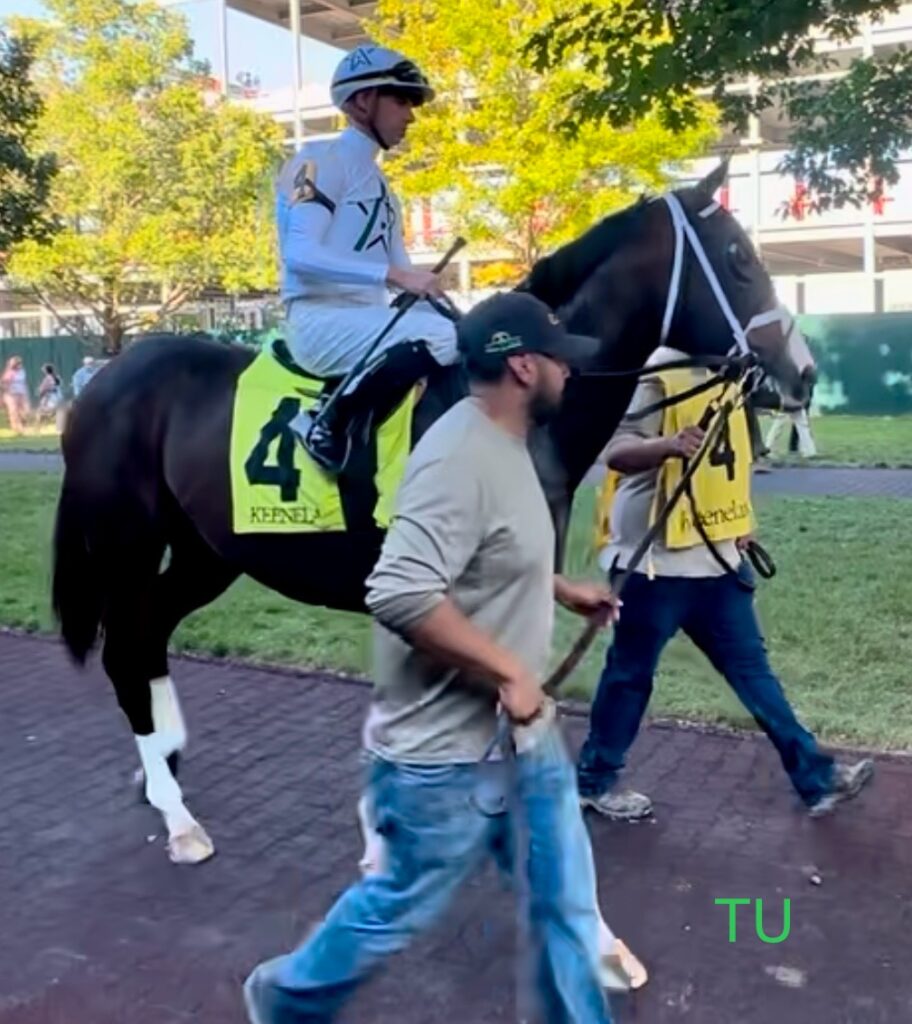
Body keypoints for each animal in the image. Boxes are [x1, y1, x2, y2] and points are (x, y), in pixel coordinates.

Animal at [53, 163, 814, 860]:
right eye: (739, 258)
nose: (803, 371)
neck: (508, 414)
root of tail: (105, 379)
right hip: (126, 543)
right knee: (125, 645)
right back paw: (178, 816)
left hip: (211, 551)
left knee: (150, 634)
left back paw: (165, 767)